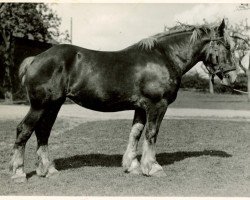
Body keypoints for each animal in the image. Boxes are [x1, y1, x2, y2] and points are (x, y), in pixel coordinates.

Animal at [9, 19, 236, 181]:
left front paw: (132, 166)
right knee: (24, 130)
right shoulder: (157, 105)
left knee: (43, 132)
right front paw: (152, 167)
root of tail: (36, 59)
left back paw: (47, 170)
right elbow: (151, 133)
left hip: (53, 105)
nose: (232, 76)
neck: (164, 57)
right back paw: (18, 172)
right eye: (226, 46)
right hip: (40, 105)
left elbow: (135, 133)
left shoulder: (141, 107)